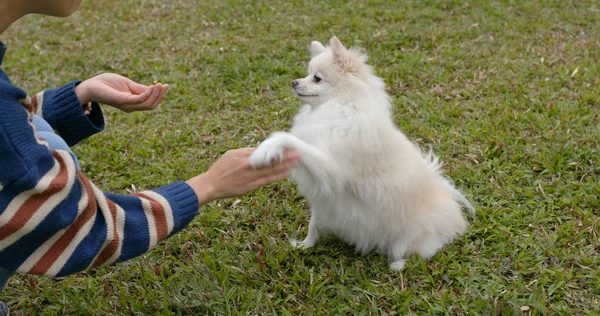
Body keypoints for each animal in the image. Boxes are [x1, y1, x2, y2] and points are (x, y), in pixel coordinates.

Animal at [248, 36, 474, 270]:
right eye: (307, 74)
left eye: (316, 78)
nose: (294, 82)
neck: (338, 106)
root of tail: (453, 210)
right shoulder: (322, 195)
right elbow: (314, 225)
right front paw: (305, 246)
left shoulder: (331, 170)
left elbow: (289, 139)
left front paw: (266, 148)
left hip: (411, 236)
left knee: (425, 251)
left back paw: (399, 264)